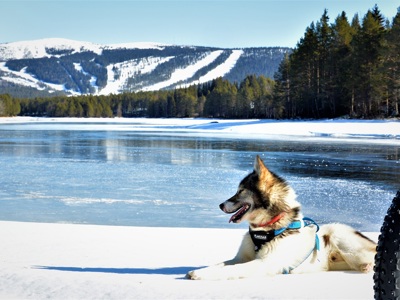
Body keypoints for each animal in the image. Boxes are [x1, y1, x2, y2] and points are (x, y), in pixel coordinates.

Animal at [186, 156, 376, 280]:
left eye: (240, 191)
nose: (220, 205)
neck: (267, 229)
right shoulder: (241, 258)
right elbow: (222, 264)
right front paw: (203, 270)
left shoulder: (264, 263)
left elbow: (232, 270)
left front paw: (199, 274)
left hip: (341, 237)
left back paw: (368, 266)